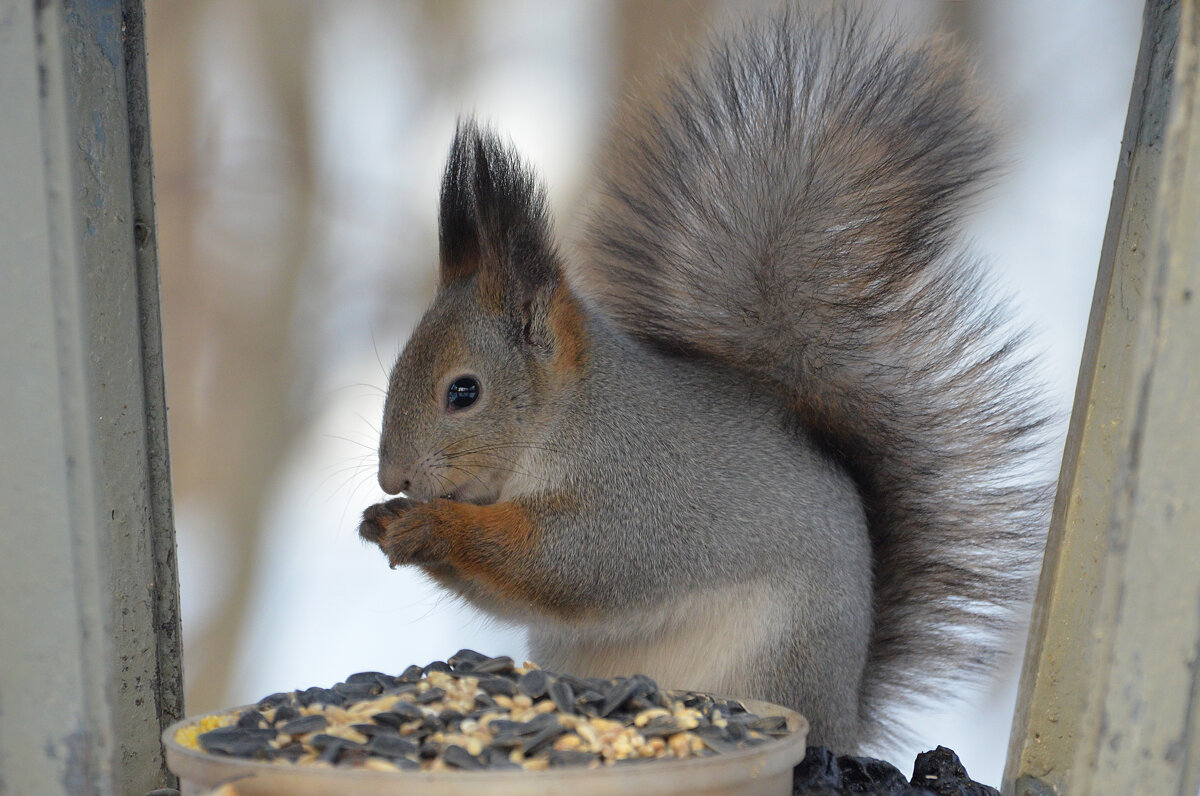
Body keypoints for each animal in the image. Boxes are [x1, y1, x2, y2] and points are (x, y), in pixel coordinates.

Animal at [355, 7, 1051, 753]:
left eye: (464, 392)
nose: (392, 478)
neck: (571, 416)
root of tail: (845, 720)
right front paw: (383, 522)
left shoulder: (639, 495)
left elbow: (569, 563)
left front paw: (430, 525)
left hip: (777, 663)